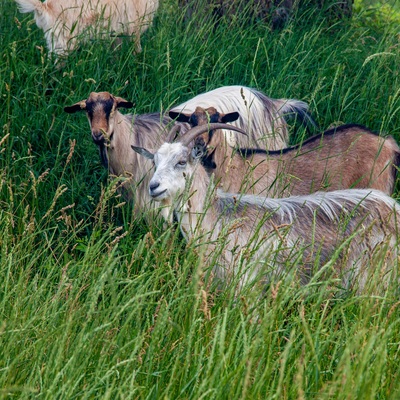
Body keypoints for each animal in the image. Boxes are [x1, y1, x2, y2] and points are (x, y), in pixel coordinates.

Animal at [14, 0, 158, 56]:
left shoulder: (117, 32)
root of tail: (45, 7)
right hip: (65, 42)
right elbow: (137, 48)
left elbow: (116, 51)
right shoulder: (135, 27)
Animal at [132, 123, 400, 292]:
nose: (153, 187)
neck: (217, 217)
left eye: (181, 161)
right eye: (154, 162)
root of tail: (393, 210)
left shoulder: (246, 283)